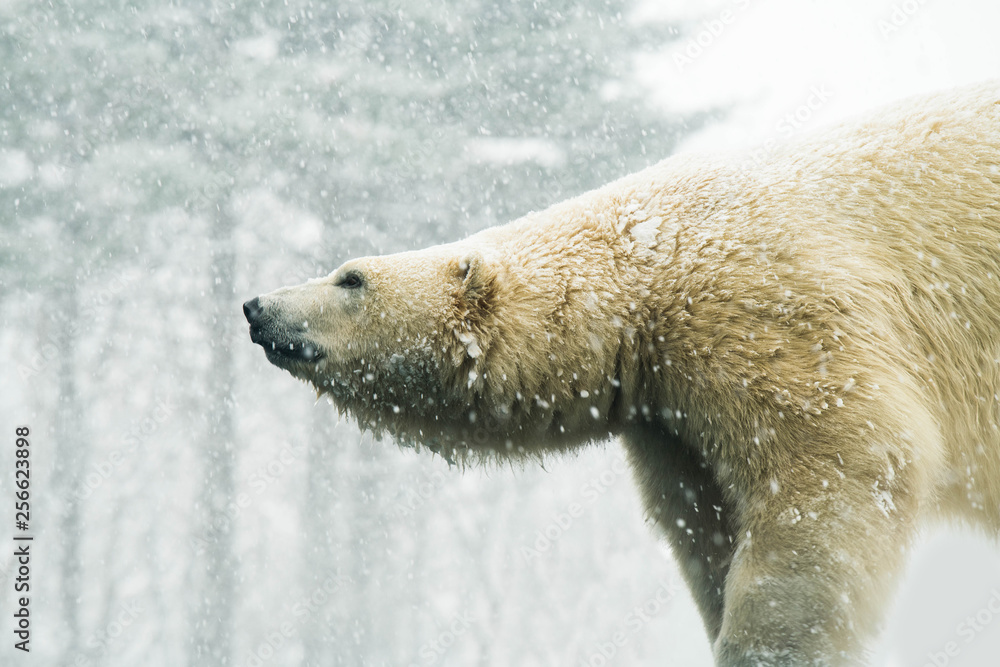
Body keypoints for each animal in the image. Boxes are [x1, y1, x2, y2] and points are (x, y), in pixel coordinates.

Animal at [244, 85, 1000, 667]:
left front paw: (764, 649)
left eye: (350, 276)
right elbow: (703, 519)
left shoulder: (770, 310)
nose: (257, 307)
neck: (649, 262)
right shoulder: (669, 412)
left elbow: (836, 465)